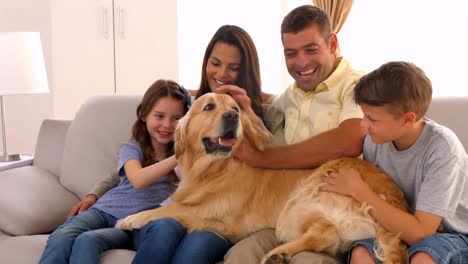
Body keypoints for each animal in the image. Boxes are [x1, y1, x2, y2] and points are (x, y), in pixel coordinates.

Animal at [117, 93, 410, 264]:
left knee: (327, 232)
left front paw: (130, 218)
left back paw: (278, 254)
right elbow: (172, 205)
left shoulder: (217, 217)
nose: (232, 116)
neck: (216, 169)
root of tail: (395, 200)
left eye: (236, 108)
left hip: (296, 206)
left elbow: (169, 209)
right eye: (209, 107)